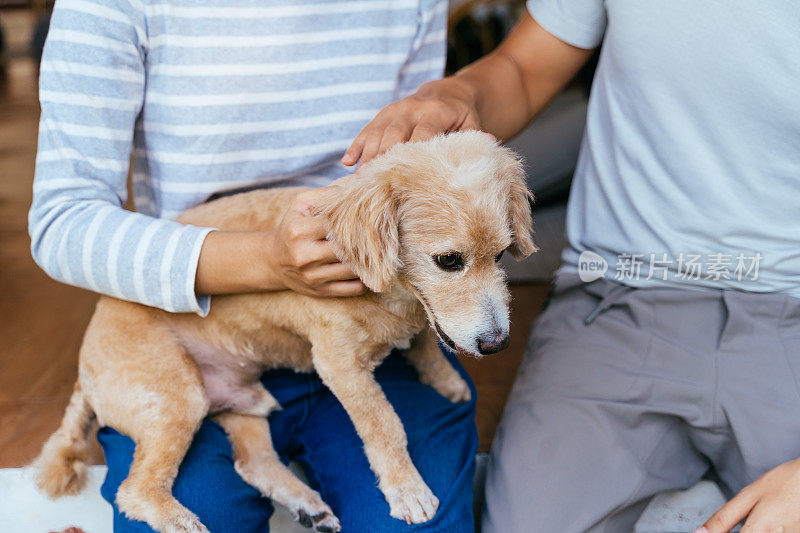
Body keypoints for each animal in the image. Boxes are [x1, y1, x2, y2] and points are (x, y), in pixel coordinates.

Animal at [32, 130, 536, 532]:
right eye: (448, 260)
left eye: (502, 255)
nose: (497, 344)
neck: (390, 295)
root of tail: (83, 369)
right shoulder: (340, 367)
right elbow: (385, 426)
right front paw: (406, 488)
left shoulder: (422, 319)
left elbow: (428, 343)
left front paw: (445, 380)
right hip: (177, 397)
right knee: (134, 491)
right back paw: (181, 521)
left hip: (243, 403)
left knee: (254, 463)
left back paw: (308, 505)